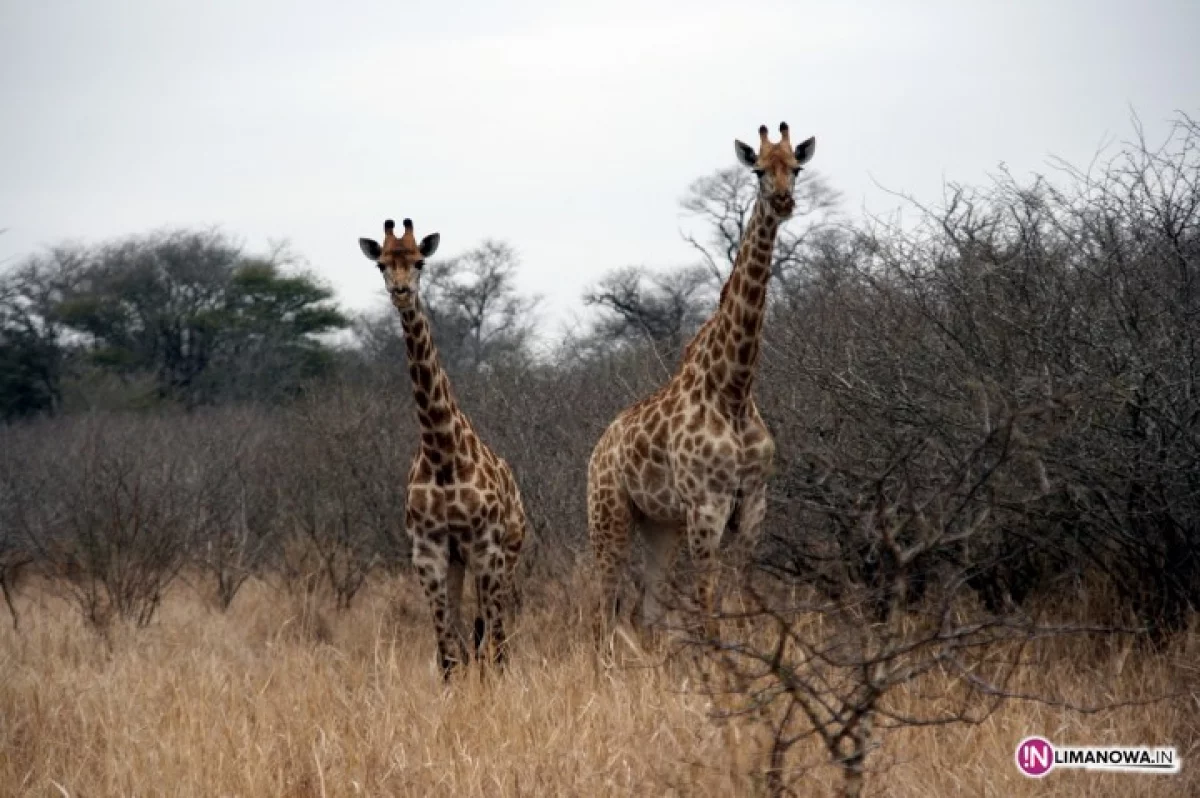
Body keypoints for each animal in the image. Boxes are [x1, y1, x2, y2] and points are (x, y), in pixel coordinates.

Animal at [355, 218, 525, 676]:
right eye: (381, 264)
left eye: (420, 262)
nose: (400, 292)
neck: (442, 450)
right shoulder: (429, 553)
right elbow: (448, 652)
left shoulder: (485, 545)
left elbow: (490, 645)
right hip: (458, 562)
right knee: (470, 637)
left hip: (506, 554)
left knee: (496, 638)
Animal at [588, 121, 816, 638]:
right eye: (757, 170)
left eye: (796, 167)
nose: (783, 201)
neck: (734, 390)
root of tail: (597, 451)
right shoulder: (706, 507)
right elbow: (709, 604)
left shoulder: (753, 503)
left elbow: (742, 597)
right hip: (610, 515)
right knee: (601, 609)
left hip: (660, 525)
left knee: (645, 611)